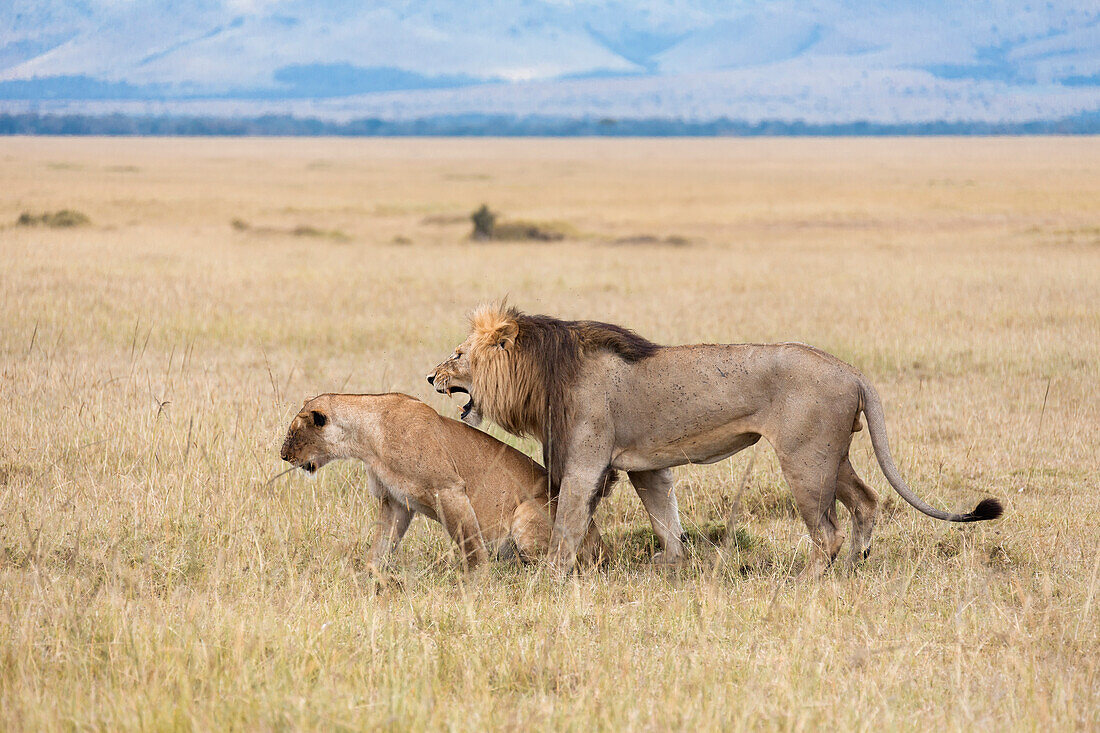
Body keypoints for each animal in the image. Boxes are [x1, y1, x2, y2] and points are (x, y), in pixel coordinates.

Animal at [279, 391, 607, 567]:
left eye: (293, 432)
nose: (283, 455)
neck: (367, 440)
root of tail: (602, 545)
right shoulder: (395, 501)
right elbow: (382, 543)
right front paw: (369, 575)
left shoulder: (449, 489)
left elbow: (471, 544)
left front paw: (478, 581)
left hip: (527, 512)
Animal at [431, 301, 1007, 572]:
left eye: (458, 354)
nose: (431, 377)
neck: (542, 373)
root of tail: (852, 370)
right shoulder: (646, 466)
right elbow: (665, 518)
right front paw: (669, 565)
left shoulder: (586, 458)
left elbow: (569, 520)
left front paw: (550, 575)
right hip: (830, 456)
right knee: (865, 503)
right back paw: (853, 570)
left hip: (804, 459)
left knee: (828, 531)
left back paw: (807, 583)